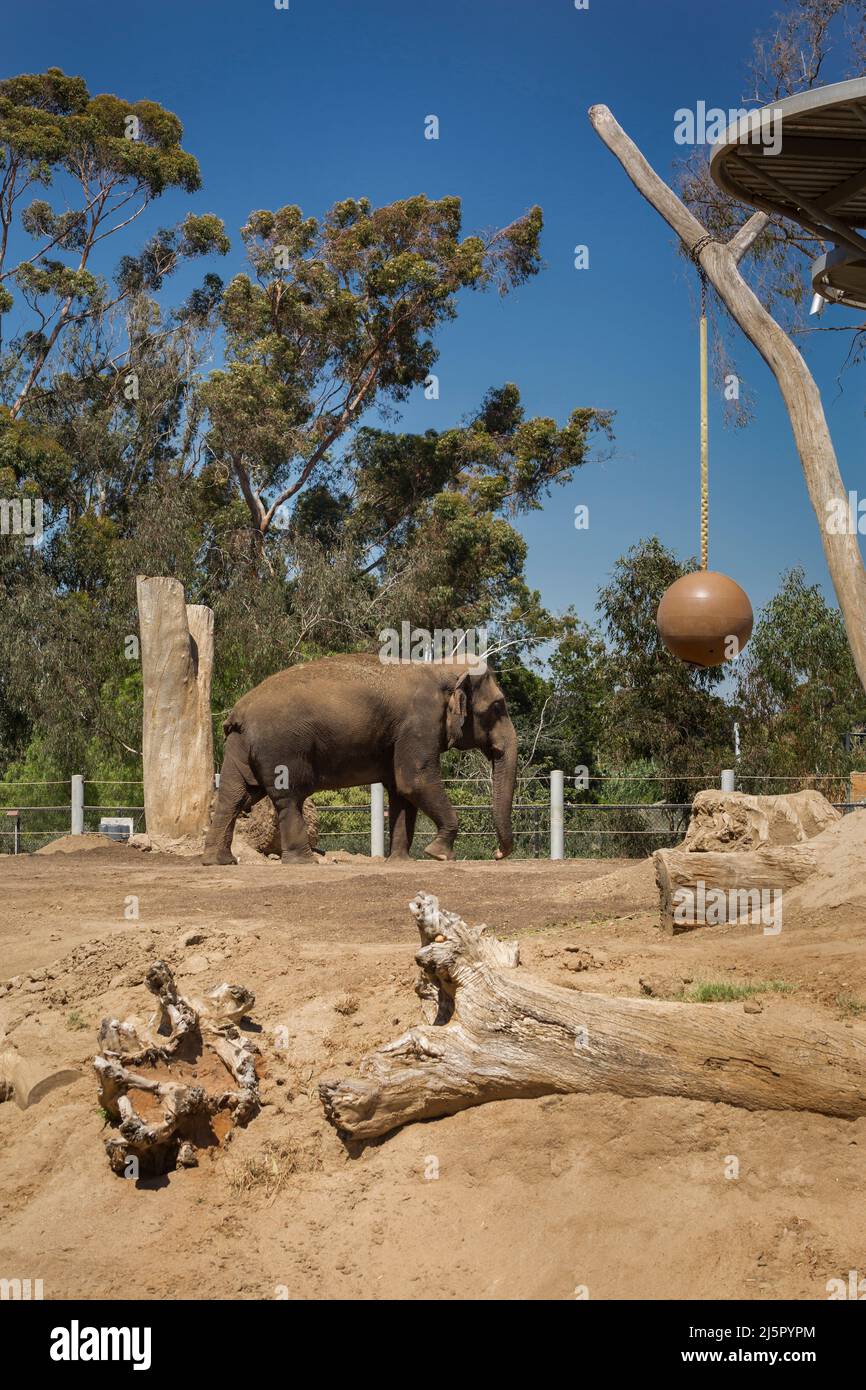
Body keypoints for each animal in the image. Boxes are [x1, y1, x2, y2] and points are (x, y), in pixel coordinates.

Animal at [202, 653, 518, 866]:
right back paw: (304, 861)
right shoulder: (419, 722)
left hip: (239, 745)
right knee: (287, 798)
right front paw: (438, 854)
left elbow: (401, 790)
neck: (441, 666)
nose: (497, 853)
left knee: (235, 795)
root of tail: (238, 712)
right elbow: (414, 780)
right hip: (281, 747)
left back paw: (219, 861)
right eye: (497, 707)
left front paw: (400, 862)